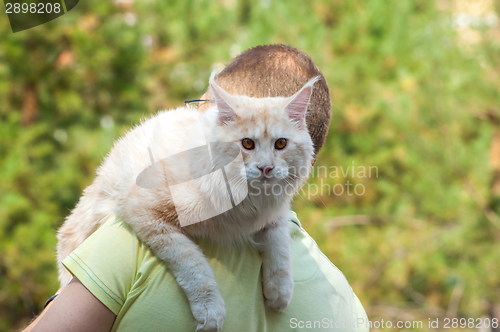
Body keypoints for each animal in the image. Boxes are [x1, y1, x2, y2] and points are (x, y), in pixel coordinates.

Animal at [55, 71, 320, 330]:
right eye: (247, 143)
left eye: (281, 144)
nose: (266, 168)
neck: (249, 201)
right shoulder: (147, 212)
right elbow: (192, 262)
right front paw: (210, 311)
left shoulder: (275, 212)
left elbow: (280, 245)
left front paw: (280, 292)